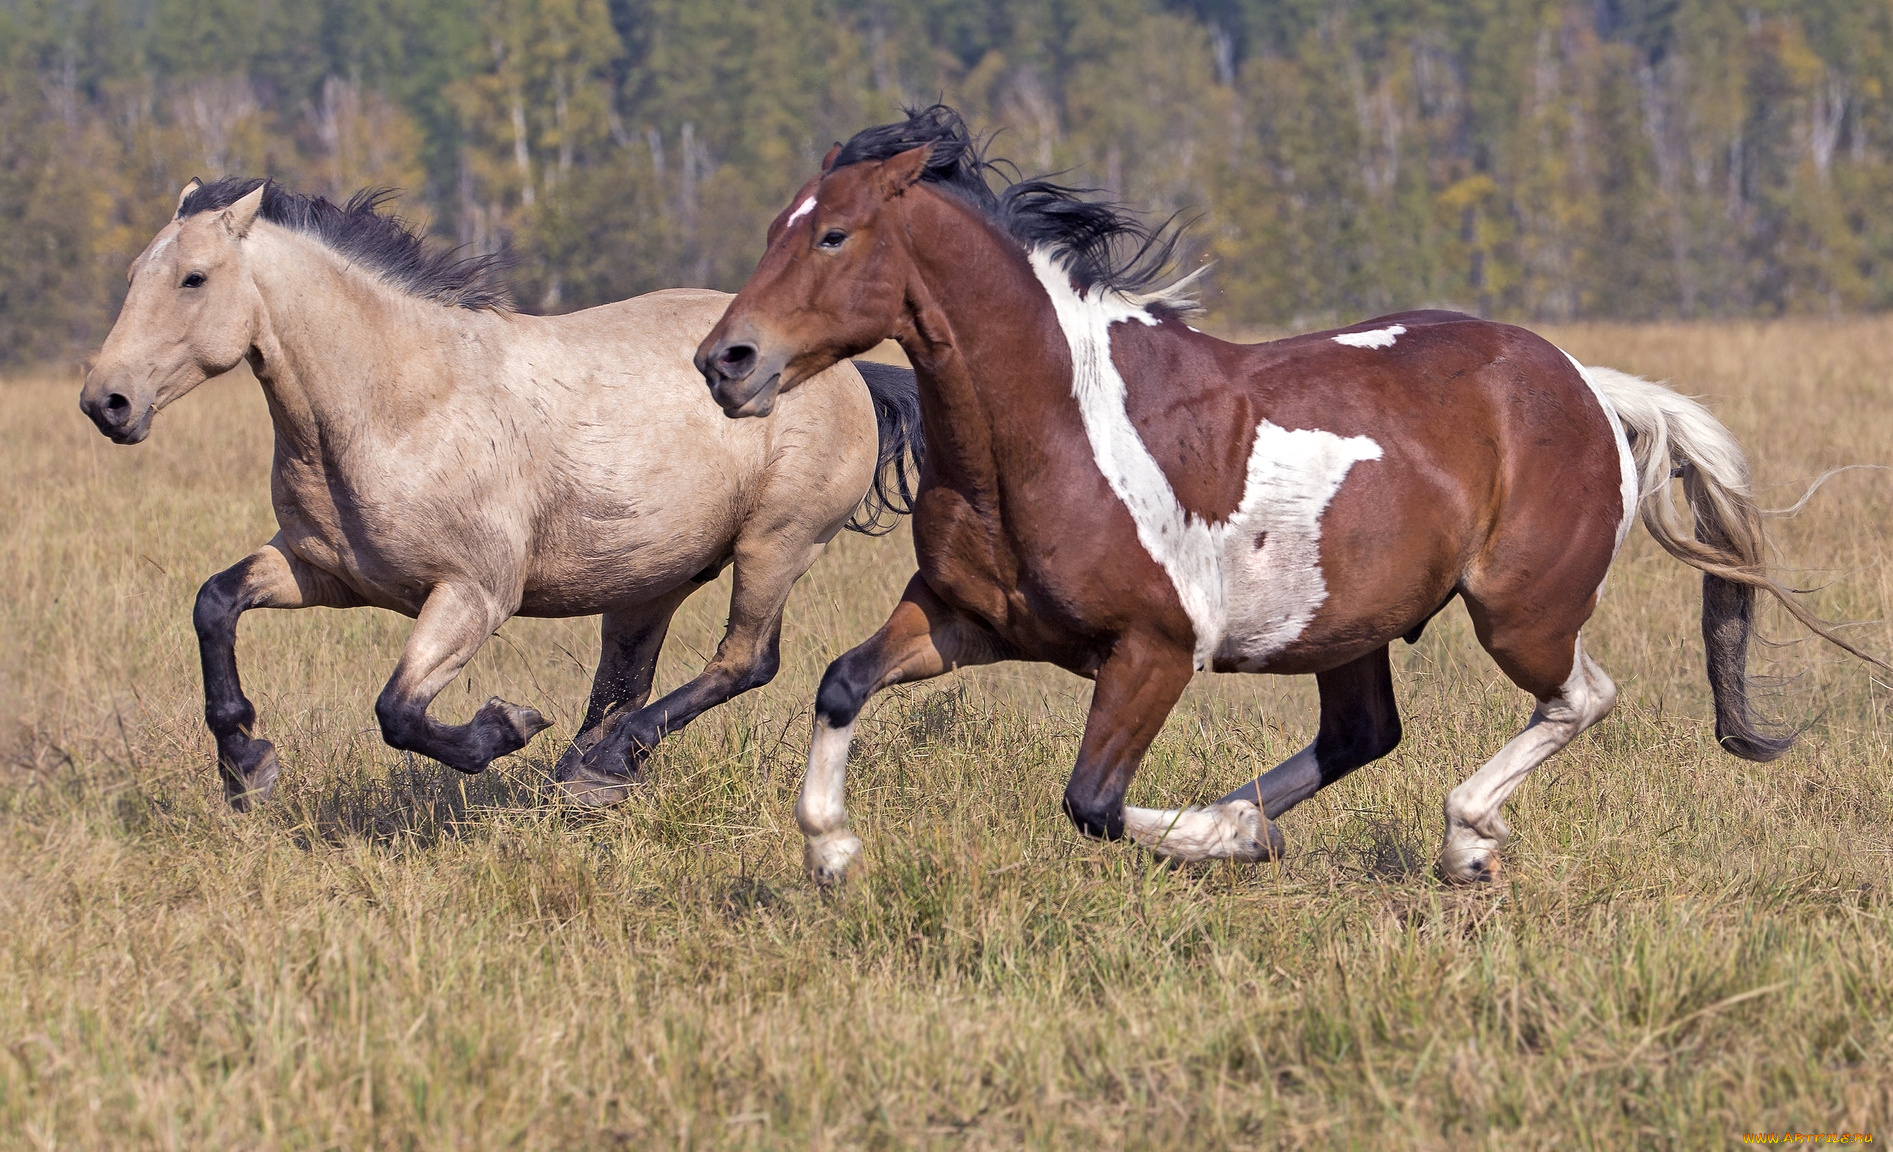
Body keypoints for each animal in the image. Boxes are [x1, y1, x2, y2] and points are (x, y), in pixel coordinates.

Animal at [81, 179, 923, 809]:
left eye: (193, 279)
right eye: (132, 276)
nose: (106, 403)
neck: (400, 405)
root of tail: (850, 374)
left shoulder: (474, 594)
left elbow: (398, 712)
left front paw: (504, 728)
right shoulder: (320, 570)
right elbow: (214, 603)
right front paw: (246, 765)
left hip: (776, 545)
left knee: (745, 660)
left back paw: (599, 766)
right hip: (649, 578)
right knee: (624, 680)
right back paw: (590, 773)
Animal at [700, 105, 1893, 881]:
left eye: (834, 233)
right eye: (770, 229)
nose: (726, 361)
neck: (1045, 429)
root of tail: (1585, 384)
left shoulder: (1152, 651)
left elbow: (1090, 802)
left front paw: (1229, 839)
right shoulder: (961, 619)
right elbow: (842, 683)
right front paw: (832, 852)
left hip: (1519, 612)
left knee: (1580, 697)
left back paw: (1462, 840)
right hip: (1349, 624)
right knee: (1366, 733)